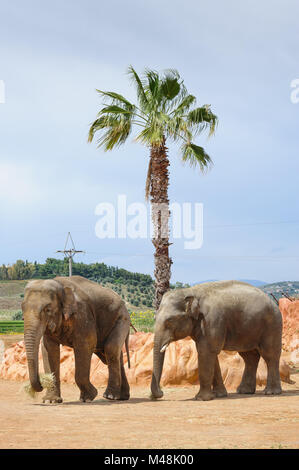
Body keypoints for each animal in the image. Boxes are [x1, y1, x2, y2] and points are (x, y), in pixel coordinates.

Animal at [22, 276, 131, 404]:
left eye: (47, 309)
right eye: (22, 308)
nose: (41, 383)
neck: (60, 285)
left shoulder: (82, 315)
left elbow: (85, 345)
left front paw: (88, 397)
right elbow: (49, 350)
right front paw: (51, 401)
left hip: (122, 318)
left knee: (110, 349)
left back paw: (110, 396)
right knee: (112, 355)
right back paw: (122, 397)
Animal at [152, 280, 284, 402]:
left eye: (169, 320)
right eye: (155, 318)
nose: (161, 393)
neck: (190, 291)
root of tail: (273, 302)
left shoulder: (211, 320)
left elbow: (206, 352)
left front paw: (201, 398)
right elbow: (210, 353)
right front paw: (218, 395)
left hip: (272, 325)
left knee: (270, 355)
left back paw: (271, 392)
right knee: (249, 356)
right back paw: (244, 391)